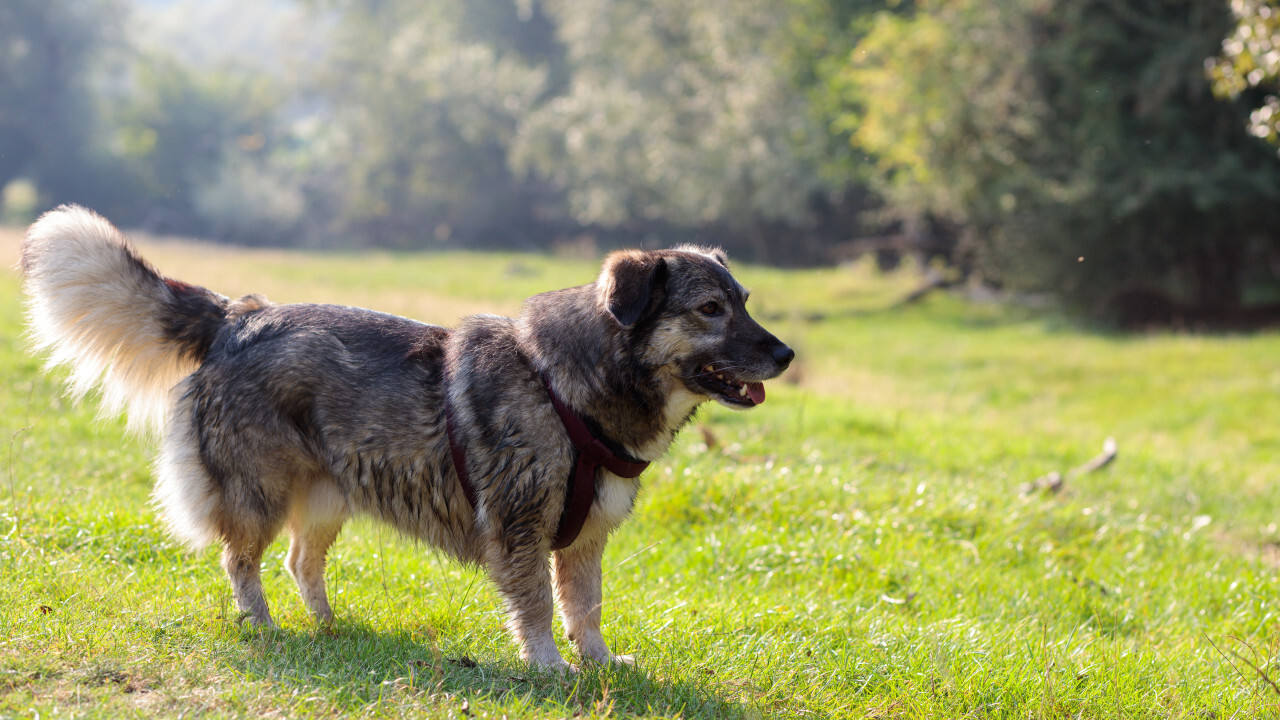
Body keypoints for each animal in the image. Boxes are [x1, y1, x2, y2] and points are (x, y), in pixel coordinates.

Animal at [22, 204, 788, 671]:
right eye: (710, 309)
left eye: (745, 302)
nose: (784, 356)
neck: (567, 387)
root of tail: (239, 316)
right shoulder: (519, 529)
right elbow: (540, 606)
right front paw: (548, 667)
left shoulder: (585, 538)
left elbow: (585, 607)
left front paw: (598, 663)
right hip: (257, 491)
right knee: (240, 561)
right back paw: (263, 624)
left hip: (328, 497)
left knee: (300, 561)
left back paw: (329, 625)